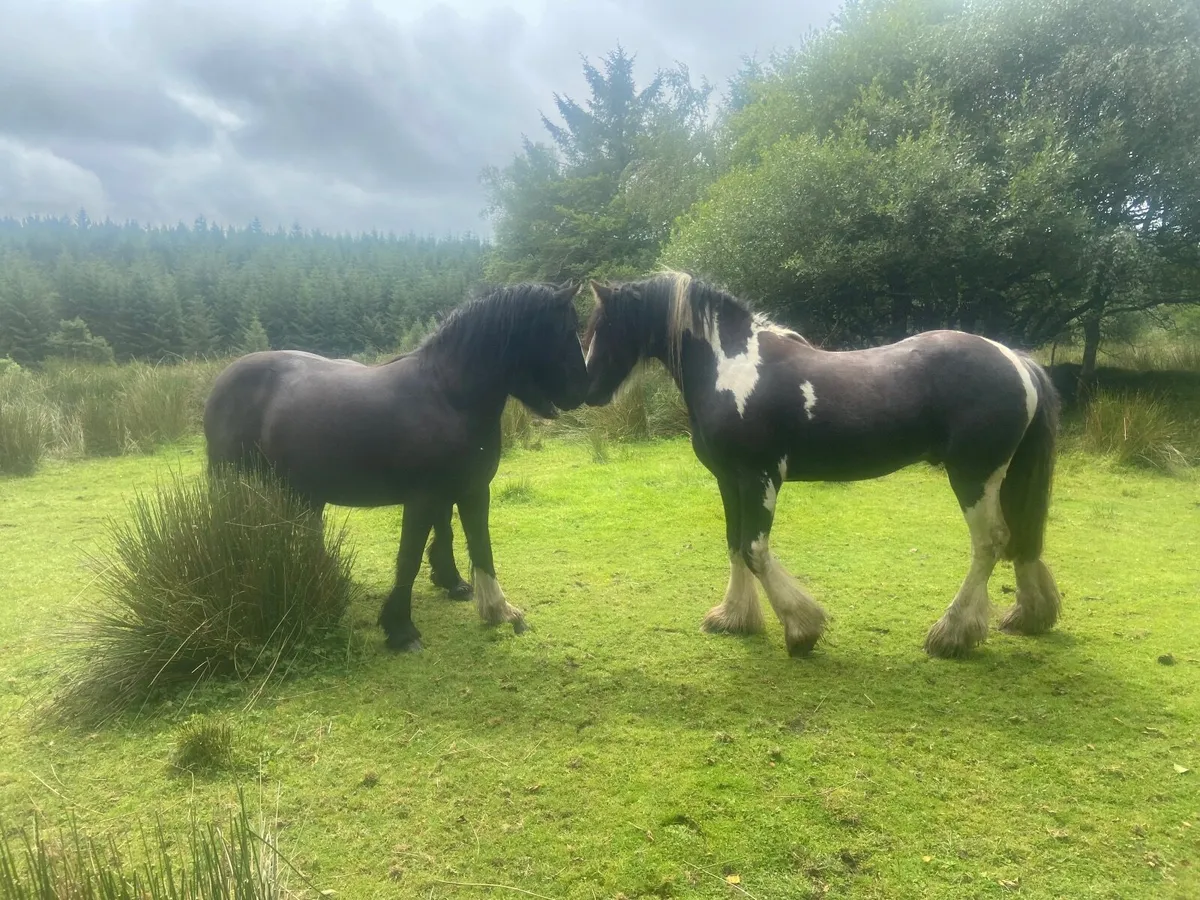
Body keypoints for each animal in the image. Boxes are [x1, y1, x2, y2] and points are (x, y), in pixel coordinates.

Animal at [203, 281, 589, 652]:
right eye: (566, 330)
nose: (582, 391)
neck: (448, 398)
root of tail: (222, 381)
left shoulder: (472, 491)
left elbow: (480, 547)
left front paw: (498, 610)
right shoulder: (423, 499)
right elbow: (409, 559)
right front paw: (401, 630)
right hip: (234, 480)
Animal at [582, 272, 1062, 659]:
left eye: (603, 325)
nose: (589, 389)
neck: (731, 369)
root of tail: (1017, 361)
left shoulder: (760, 477)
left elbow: (755, 550)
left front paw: (802, 629)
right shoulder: (729, 480)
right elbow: (734, 545)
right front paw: (734, 618)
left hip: (973, 475)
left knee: (990, 543)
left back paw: (952, 635)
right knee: (1020, 539)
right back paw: (1028, 617)